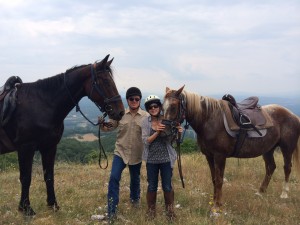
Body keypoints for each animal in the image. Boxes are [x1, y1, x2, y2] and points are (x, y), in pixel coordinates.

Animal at [0, 54, 124, 216]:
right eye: (105, 81)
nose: (120, 112)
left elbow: (49, 176)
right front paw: (26, 208)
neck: (42, 104)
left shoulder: (49, 147)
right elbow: (26, 177)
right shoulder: (26, 148)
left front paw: (53, 204)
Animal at [163, 85, 298, 214]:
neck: (209, 119)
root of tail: (293, 115)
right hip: (268, 149)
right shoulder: (209, 156)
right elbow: (214, 179)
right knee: (271, 167)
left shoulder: (220, 156)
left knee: (287, 167)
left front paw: (217, 205)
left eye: (174, 106)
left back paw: (284, 193)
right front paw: (214, 201)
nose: (165, 131)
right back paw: (260, 192)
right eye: (163, 106)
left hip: (287, 148)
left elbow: (219, 180)